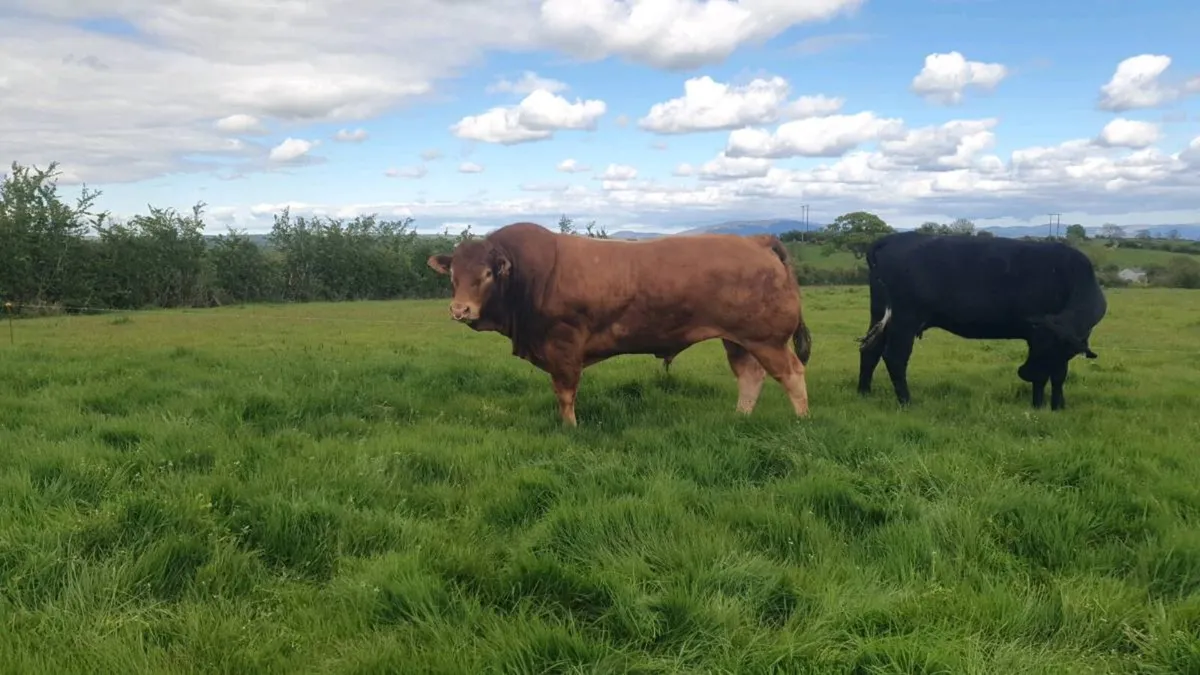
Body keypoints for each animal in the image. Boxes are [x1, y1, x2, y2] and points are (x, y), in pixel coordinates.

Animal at [427, 222, 813, 426]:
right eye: (453, 275)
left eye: (487, 274)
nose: (460, 309)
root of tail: (755, 240)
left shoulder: (564, 344)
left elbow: (564, 391)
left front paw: (570, 427)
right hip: (738, 339)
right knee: (750, 375)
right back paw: (740, 417)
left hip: (767, 339)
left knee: (791, 373)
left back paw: (802, 420)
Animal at [856, 231, 1107, 411]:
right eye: (1039, 344)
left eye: (1046, 346)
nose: (1024, 373)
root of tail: (895, 238)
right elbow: (1054, 374)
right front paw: (1050, 405)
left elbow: (1055, 374)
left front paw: (1048, 406)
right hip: (905, 319)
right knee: (895, 357)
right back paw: (907, 402)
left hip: (881, 315)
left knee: (870, 349)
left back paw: (864, 392)